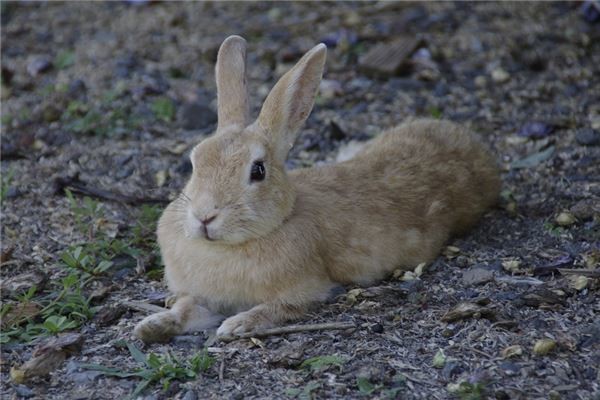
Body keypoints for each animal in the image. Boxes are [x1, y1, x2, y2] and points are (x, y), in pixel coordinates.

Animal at [132, 35, 502, 344]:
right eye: (195, 161)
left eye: (258, 171)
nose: (204, 217)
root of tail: (474, 146)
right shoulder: (204, 298)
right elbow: (186, 309)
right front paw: (151, 326)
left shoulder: (304, 290)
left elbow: (276, 309)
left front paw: (236, 325)